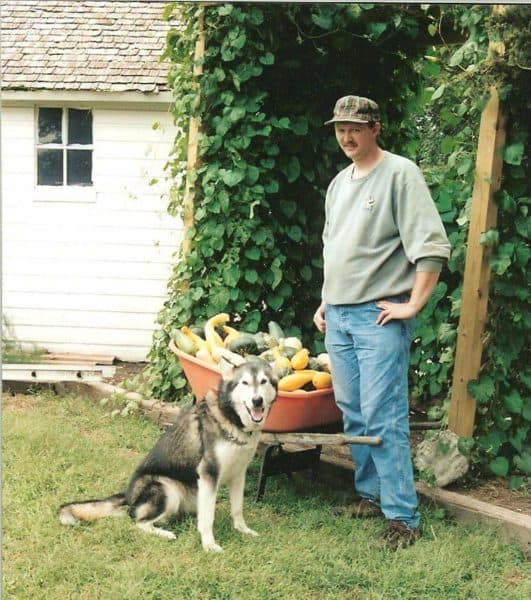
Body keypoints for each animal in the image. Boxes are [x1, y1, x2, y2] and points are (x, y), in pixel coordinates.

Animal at [59, 356, 278, 552]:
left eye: (264, 382)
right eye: (245, 383)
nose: (257, 401)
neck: (232, 419)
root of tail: (128, 494)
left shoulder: (238, 474)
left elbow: (237, 508)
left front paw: (243, 530)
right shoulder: (208, 474)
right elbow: (208, 518)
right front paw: (209, 545)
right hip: (167, 490)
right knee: (137, 521)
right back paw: (165, 534)